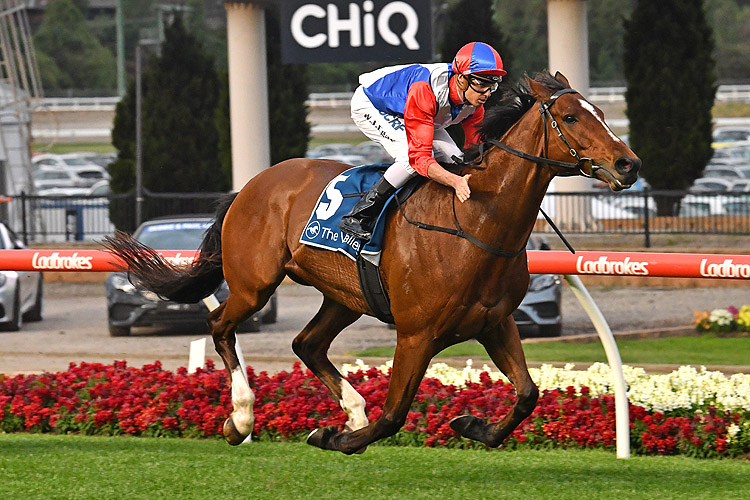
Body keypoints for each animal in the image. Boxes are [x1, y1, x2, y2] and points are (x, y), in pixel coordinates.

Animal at [106, 72, 640, 456]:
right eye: (571, 117)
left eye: (600, 112)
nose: (628, 164)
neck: (476, 220)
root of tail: (252, 185)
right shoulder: (417, 333)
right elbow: (395, 414)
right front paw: (335, 437)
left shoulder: (495, 322)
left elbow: (528, 394)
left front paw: (471, 424)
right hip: (254, 284)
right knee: (221, 325)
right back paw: (241, 418)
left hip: (345, 296)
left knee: (307, 343)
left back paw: (351, 410)